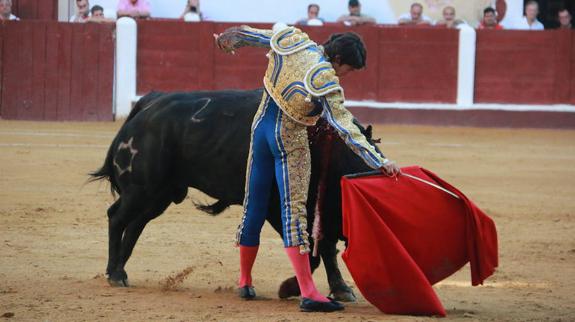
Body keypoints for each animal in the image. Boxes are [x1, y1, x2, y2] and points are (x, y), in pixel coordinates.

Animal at [91, 88, 382, 302]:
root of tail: (147, 106)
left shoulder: (322, 212)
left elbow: (326, 250)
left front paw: (342, 289)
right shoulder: (278, 207)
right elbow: (311, 254)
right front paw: (289, 288)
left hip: (159, 194)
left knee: (135, 224)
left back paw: (119, 270)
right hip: (142, 188)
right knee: (117, 217)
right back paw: (115, 273)